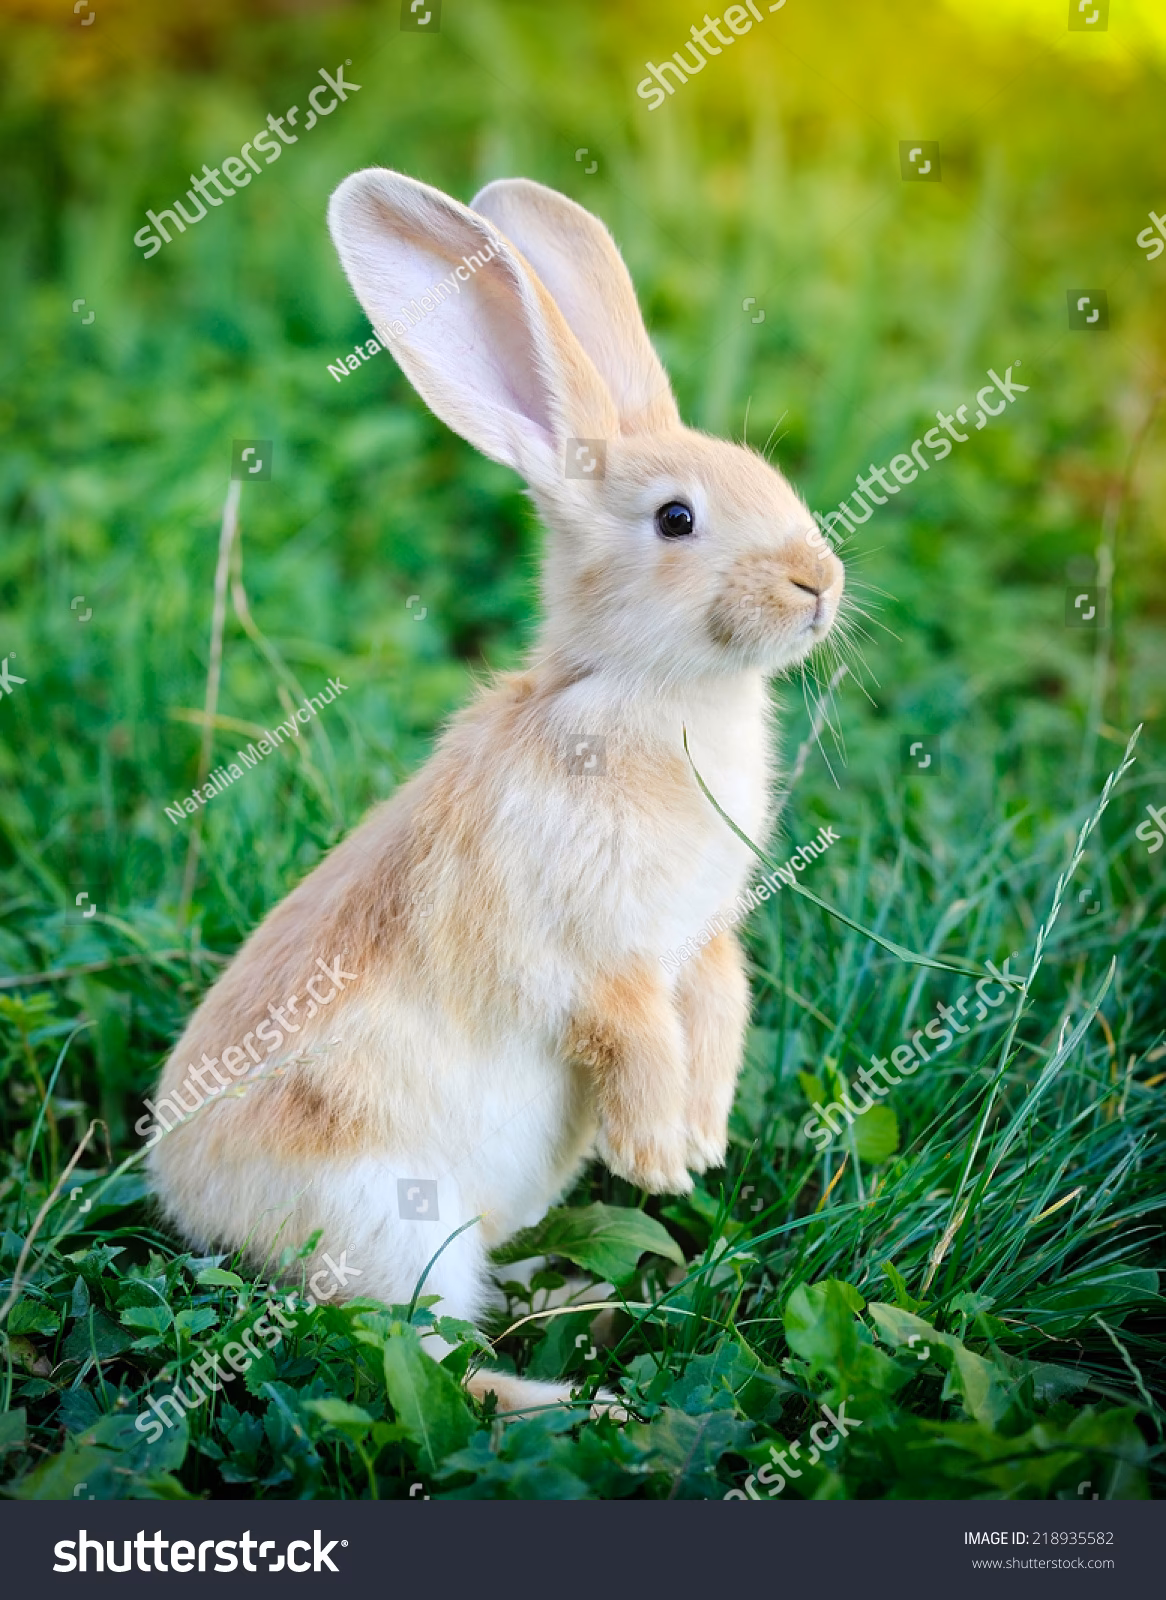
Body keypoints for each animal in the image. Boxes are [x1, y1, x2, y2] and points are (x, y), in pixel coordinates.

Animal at [146, 167, 845, 1419]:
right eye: (675, 518)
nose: (818, 581)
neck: (641, 692)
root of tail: (191, 1198)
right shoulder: (583, 946)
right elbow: (627, 1026)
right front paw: (660, 1152)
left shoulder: (703, 935)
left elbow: (719, 1002)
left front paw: (702, 1139)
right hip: (393, 1214)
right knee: (426, 1357)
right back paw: (590, 1400)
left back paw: (568, 1296)